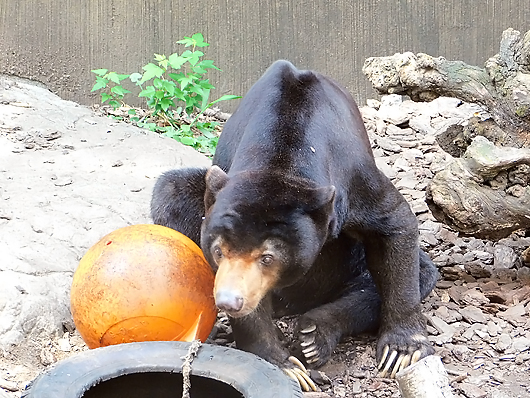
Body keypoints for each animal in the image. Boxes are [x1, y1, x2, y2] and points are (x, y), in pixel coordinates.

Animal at [150, 59, 438, 392]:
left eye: (268, 257)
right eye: (218, 251)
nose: (229, 301)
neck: (284, 158)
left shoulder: (354, 181)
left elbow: (394, 226)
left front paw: (402, 350)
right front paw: (286, 367)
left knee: (418, 273)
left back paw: (315, 335)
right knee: (171, 191)